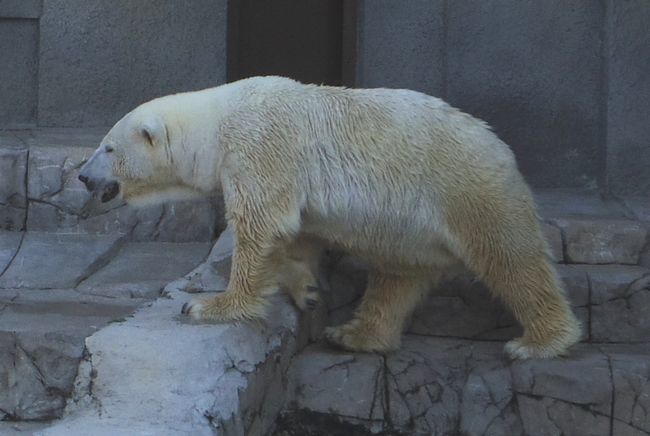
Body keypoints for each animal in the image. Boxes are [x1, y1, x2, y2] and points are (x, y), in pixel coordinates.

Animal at [78, 76, 580, 360]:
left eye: (108, 146)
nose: (82, 175)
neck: (217, 122)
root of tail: (500, 145)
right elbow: (291, 234)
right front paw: (308, 290)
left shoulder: (260, 145)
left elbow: (261, 223)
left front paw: (209, 306)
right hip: (412, 231)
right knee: (397, 277)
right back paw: (354, 334)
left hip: (466, 190)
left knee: (511, 259)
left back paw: (539, 342)